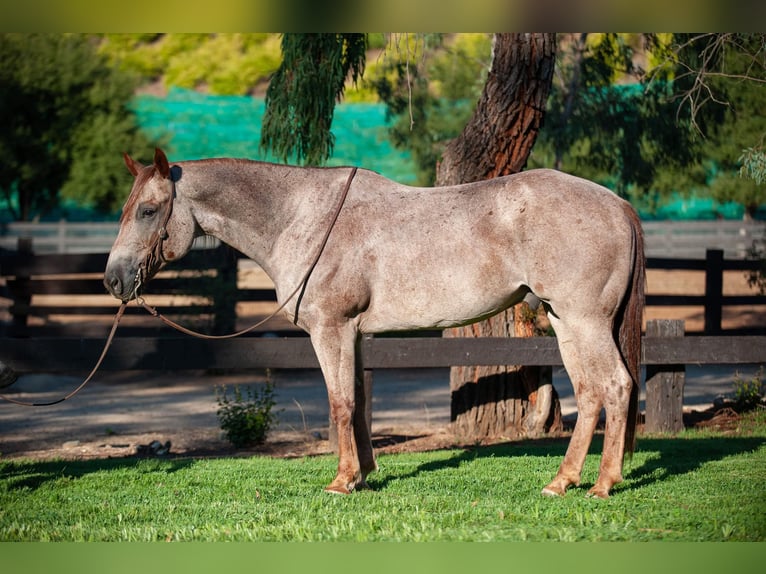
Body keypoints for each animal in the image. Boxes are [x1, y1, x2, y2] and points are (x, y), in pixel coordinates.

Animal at [105, 148, 644, 500]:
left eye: (149, 210)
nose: (114, 279)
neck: (301, 218)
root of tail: (617, 203)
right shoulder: (355, 335)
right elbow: (359, 402)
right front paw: (364, 473)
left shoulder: (332, 330)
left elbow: (341, 402)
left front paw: (342, 481)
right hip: (565, 321)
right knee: (590, 393)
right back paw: (563, 481)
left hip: (584, 321)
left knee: (616, 387)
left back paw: (602, 484)